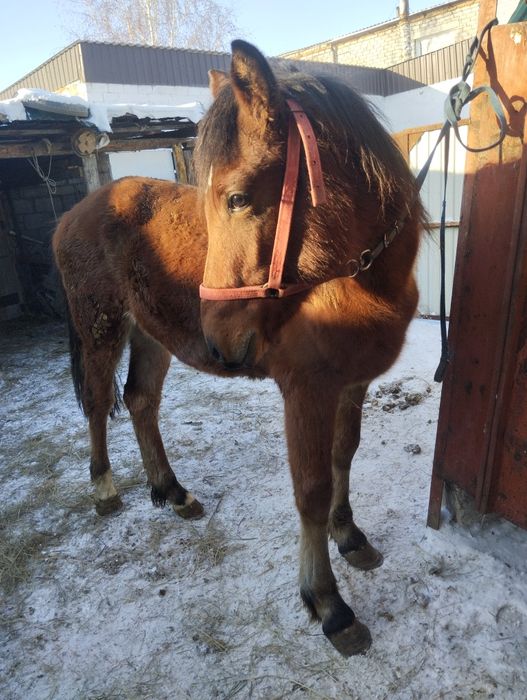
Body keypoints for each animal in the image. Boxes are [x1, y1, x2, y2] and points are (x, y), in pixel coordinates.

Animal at [53, 39, 425, 657]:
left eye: (236, 198)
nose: (222, 342)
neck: (352, 280)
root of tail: (72, 213)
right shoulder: (307, 392)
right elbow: (312, 489)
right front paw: (327, 603)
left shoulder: (352, 385)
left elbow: (343, 458)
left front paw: (351, 536)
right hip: (101, 329)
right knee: (100, 402)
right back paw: (105, 488)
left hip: (150, 336)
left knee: (140, 402)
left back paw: (173, 492)